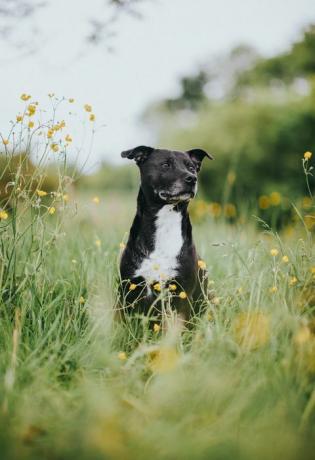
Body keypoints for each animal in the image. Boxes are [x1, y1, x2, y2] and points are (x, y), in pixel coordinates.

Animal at [118, 146, 215, 322]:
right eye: (165, 165)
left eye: (191, 167)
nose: (192, 179)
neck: (165, 224)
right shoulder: (130, 288)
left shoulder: (182, 292)